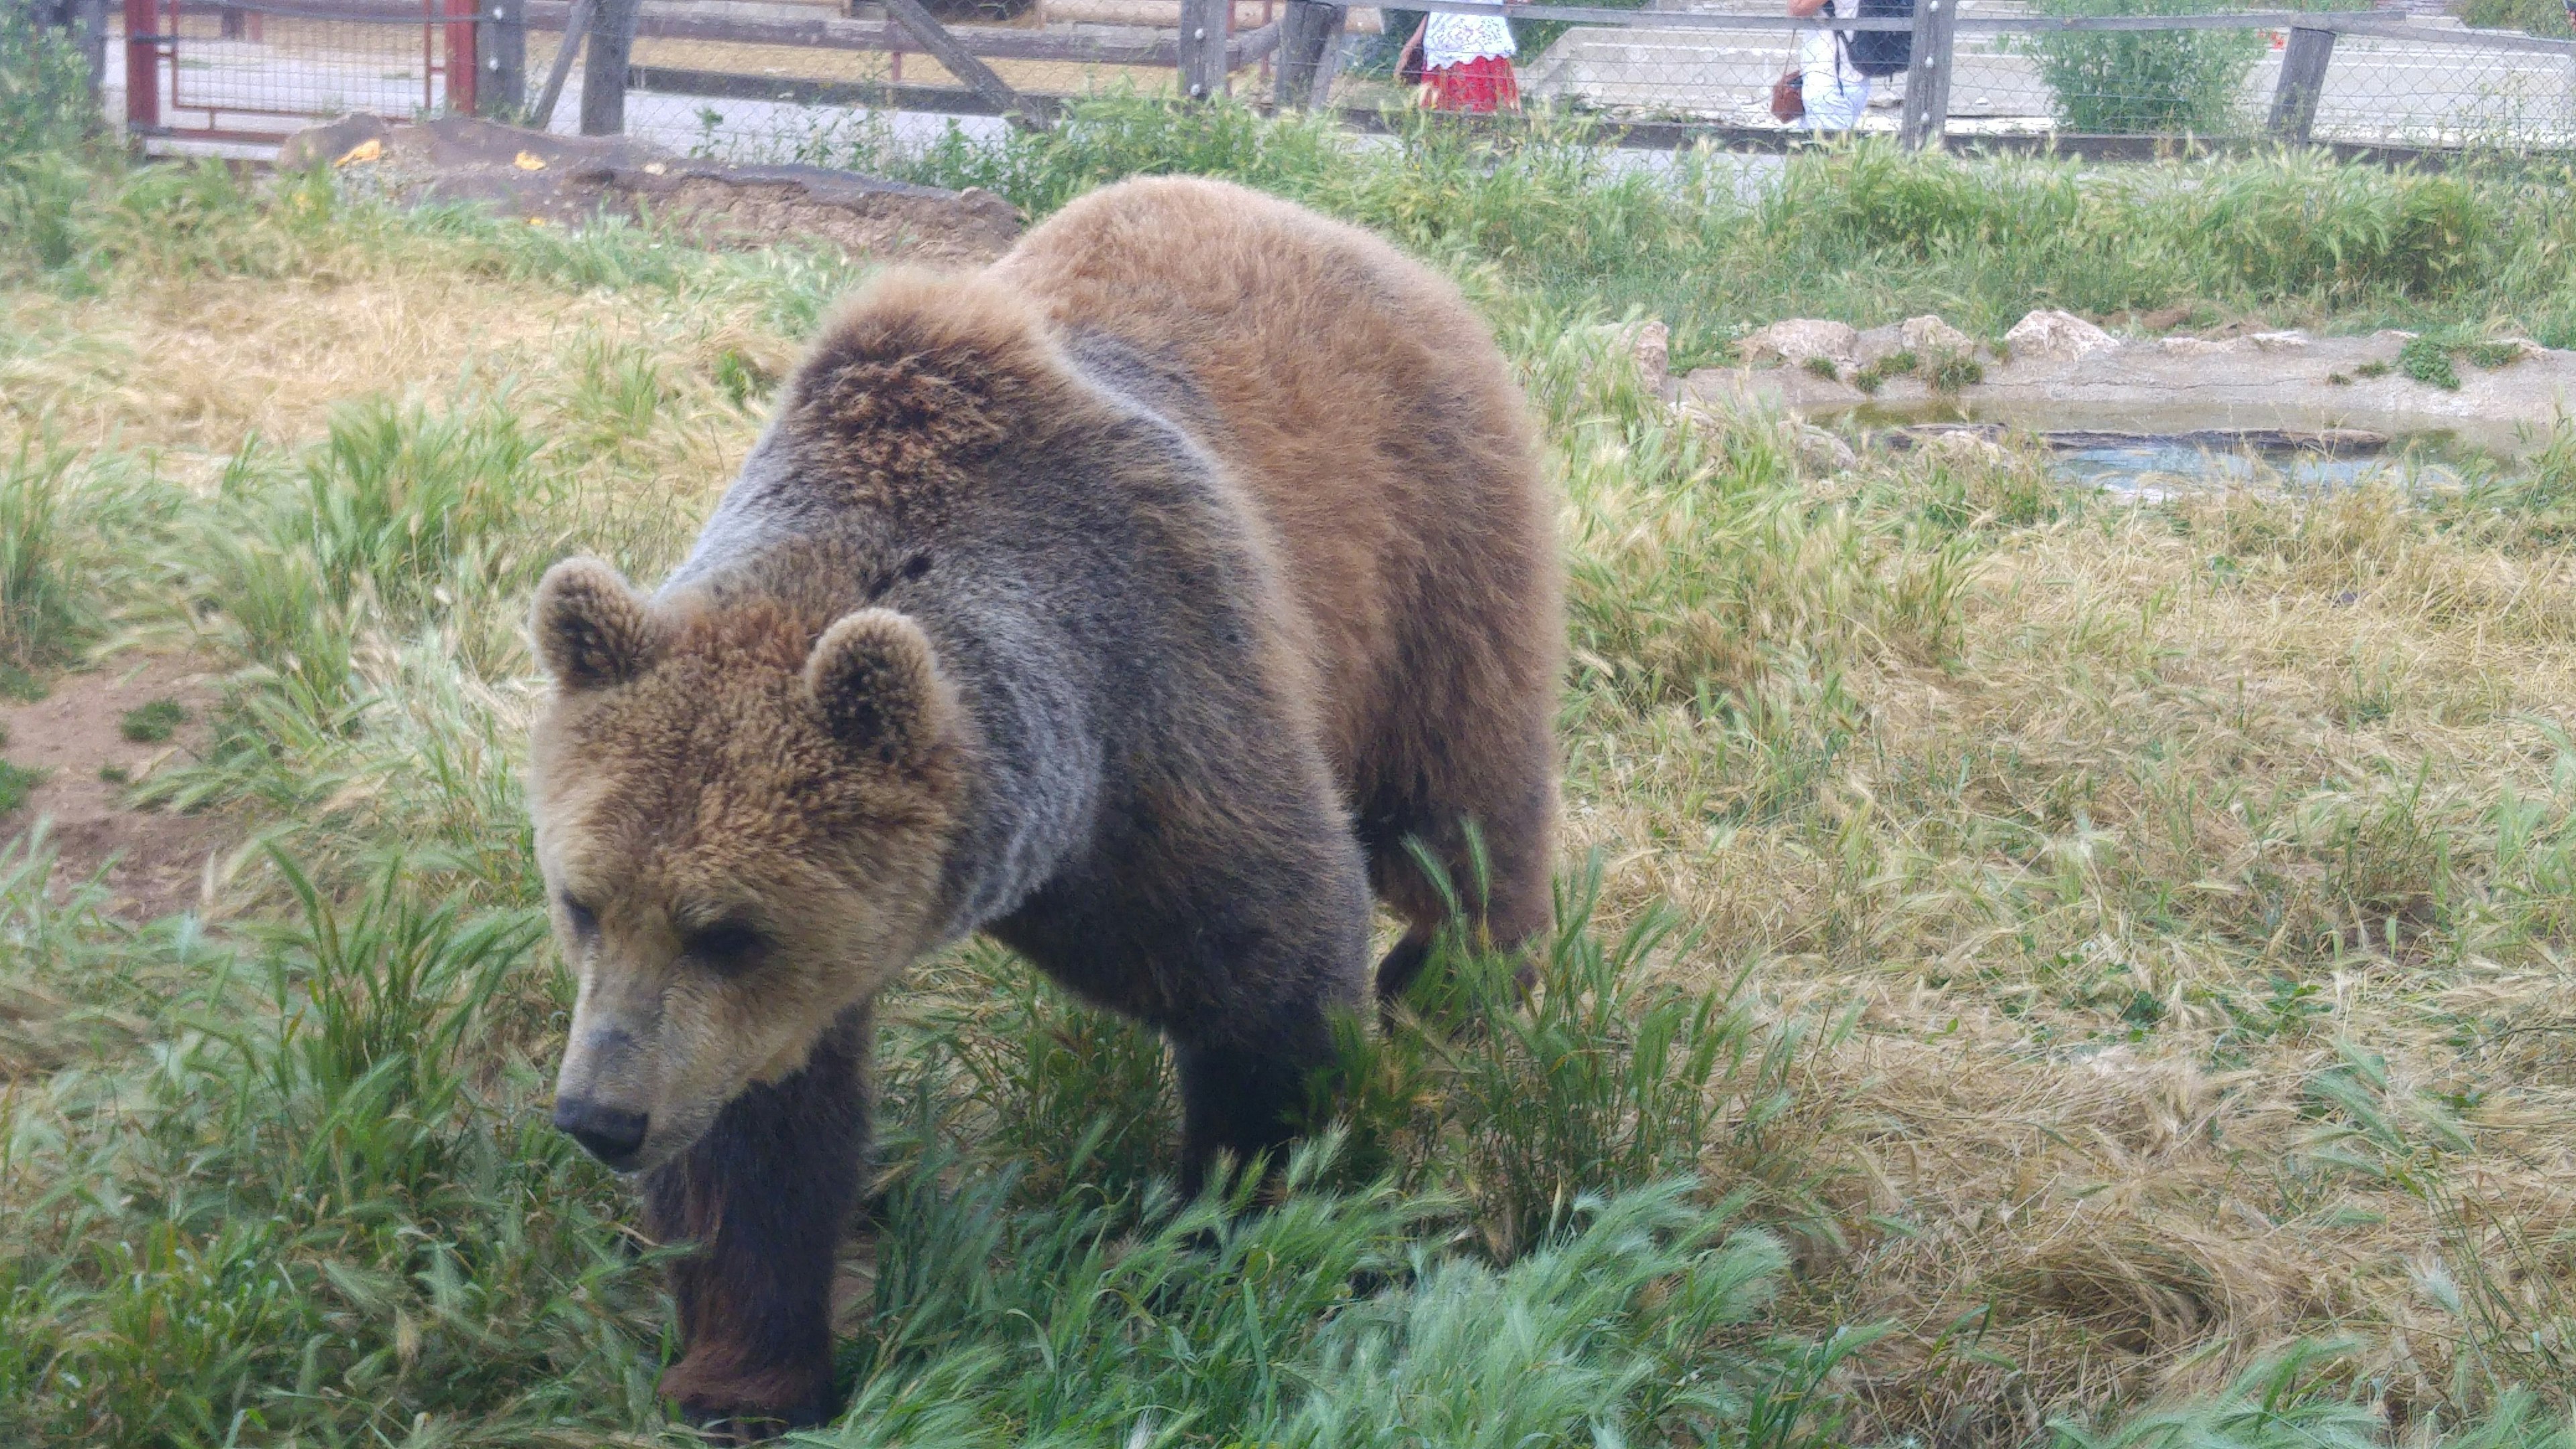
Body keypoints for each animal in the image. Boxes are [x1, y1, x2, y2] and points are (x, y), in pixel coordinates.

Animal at [528, 175, 1546, 1423]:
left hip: (1421, 536)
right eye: (580, 903)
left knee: (1455, 800)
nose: (599, 1117)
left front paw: (1218, 1239)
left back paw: (1458, 980)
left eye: (728, 930)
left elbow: (1273, 973)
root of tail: (1348, 232)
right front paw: (745, 1378)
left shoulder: (1156, 718)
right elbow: (758, 1134)